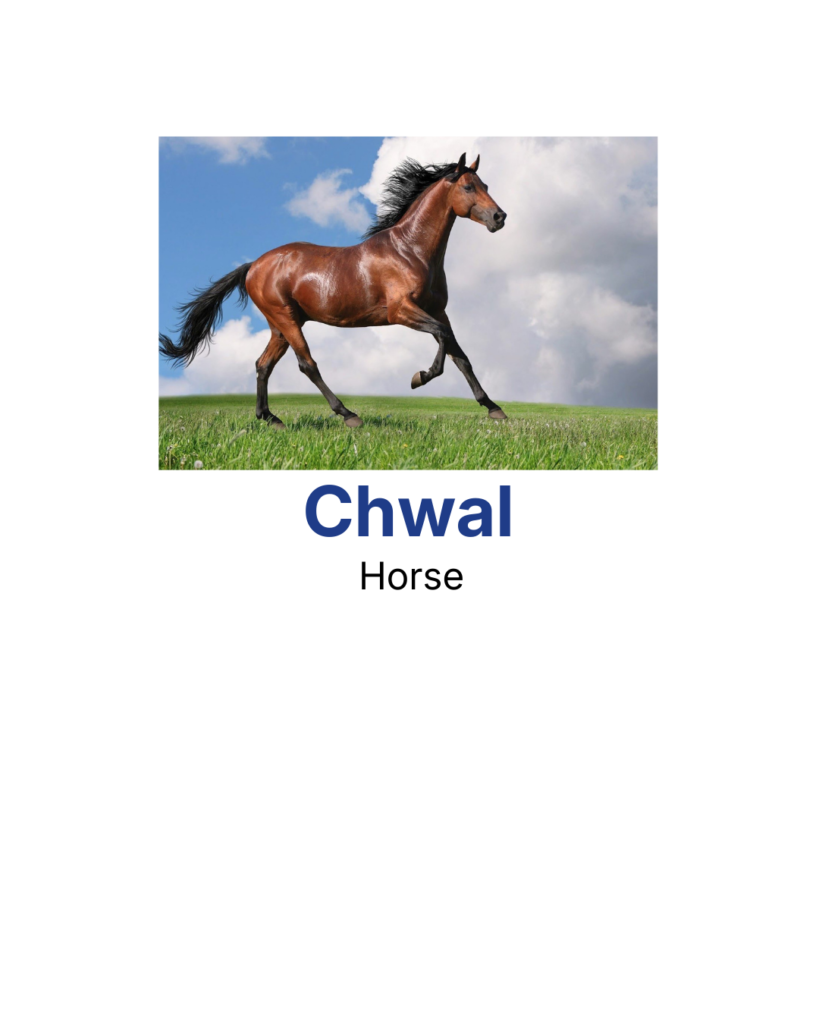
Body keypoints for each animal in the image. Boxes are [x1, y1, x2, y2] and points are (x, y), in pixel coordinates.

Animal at [159, 152, 508, 428]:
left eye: (486, 186)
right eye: (468, 187)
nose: (499, 217)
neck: (411, 251)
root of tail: (254, 265)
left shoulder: (438, 310)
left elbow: (460, 355)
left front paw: (494, 408)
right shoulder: (402, 311)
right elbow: (442, 340)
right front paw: (419, 377)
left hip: (281, 326)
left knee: (263, 365)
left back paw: (271, 418)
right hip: (286, 320)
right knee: (307, 364)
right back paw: (348, 414)